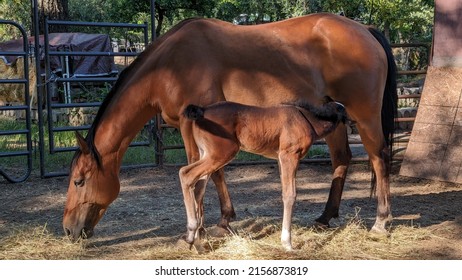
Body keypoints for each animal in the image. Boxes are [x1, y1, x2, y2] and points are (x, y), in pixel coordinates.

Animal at [180, 100, 346, 249]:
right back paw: (191, 233)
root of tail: (203, 110)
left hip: (206, 154)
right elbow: (290, 195)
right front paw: (287, 243)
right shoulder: (289, 155)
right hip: (221, 154)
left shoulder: (280, 159)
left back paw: (197, 242)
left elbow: (285, 193)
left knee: (198, 188)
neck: (306, 119)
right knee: (185, 174)